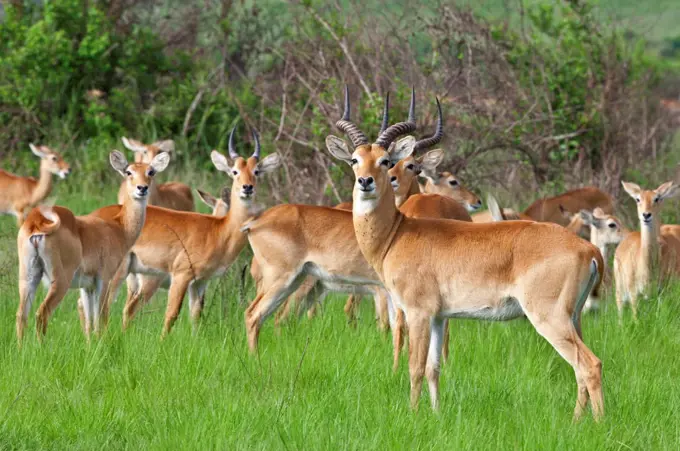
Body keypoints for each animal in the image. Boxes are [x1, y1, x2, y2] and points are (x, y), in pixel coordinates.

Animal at [16, 150, 168, 340]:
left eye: (151, 172)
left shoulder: (86, 285)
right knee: (42, 313)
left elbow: (90, 323)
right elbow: (100, 319)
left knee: (21, 315)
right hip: (60, 280)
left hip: (28, 276)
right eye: (129, 172)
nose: (142, 188)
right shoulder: (104, 279)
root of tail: (36, 220)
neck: (119, 227)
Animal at [105, 125, 280, 338]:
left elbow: (196, 316)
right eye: (235, 171)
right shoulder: (182, 276)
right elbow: (172, 314)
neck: (220, 231)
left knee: (126, 308)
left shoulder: (200, 282)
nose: (247, 188)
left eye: (256, 171)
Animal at [612, 181, 680, 322]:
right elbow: (636, 317)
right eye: (638, 199)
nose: (646, 215)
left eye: (657, 198)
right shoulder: (634, 294)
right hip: (620, 291)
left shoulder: (660, 292)